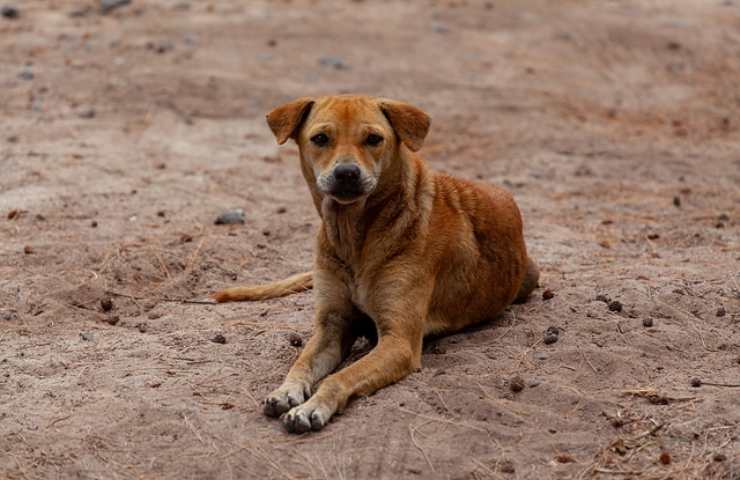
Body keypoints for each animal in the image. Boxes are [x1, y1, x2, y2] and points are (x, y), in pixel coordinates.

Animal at [212, 95, 536, 434]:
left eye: (373, 139)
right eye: (320, 138)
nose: (346, 173)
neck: (354, 236)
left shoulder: (398, 342)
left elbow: (339, 377)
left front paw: (312, 406)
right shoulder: (332, 325)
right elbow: (301, 363)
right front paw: (286, 390)